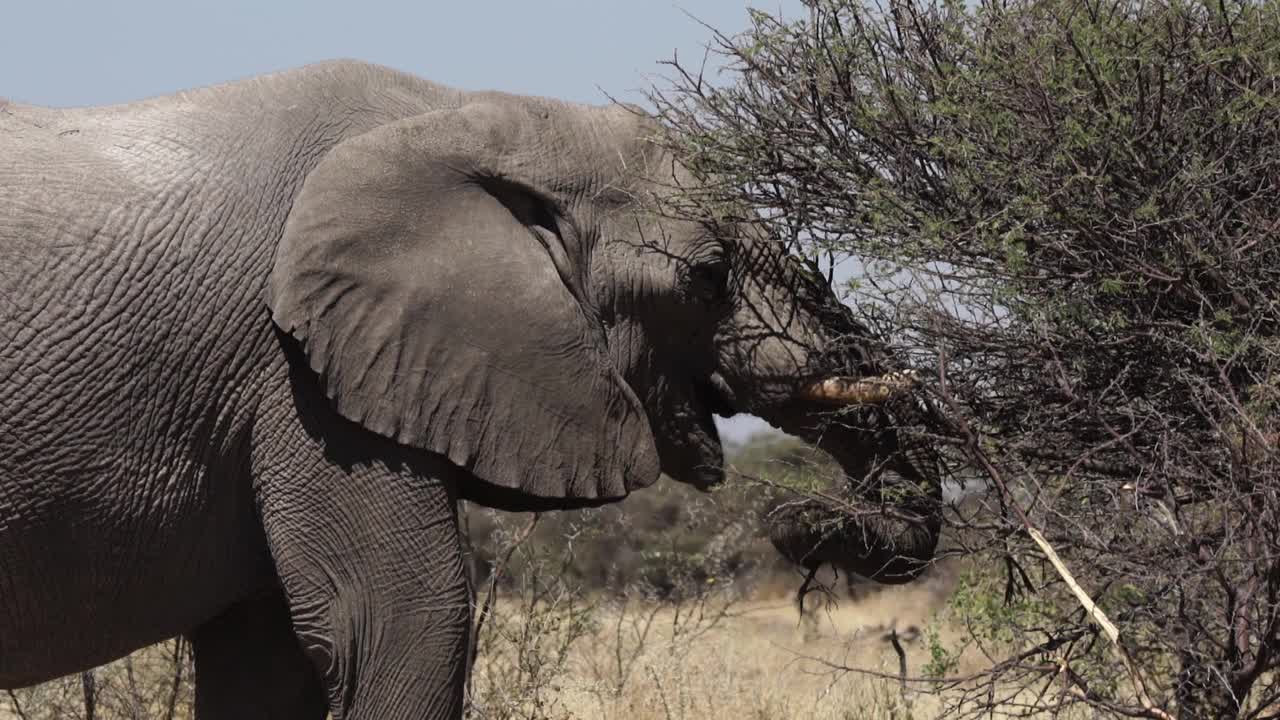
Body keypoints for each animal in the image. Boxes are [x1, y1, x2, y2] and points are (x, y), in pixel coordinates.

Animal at [0, 58, 942, 712]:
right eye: (709, 278)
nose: (795, 523)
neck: (462, 116)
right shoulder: (304, 382)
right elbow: (402, 626)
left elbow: (265, 658)